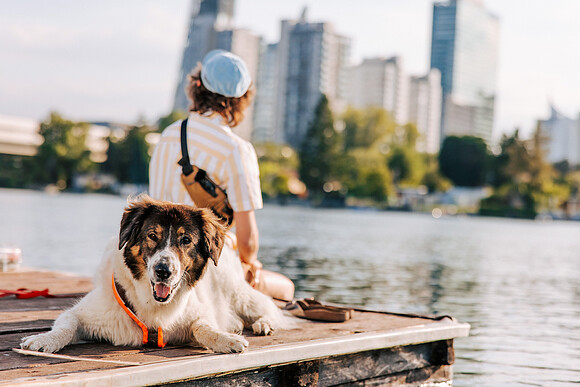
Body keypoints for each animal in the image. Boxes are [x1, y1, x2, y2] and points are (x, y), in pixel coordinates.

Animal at [21, 197, 288, 354]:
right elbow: (66, 325)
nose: (163, 271)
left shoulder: (198, 313)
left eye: (186, 240)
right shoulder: (82, 313)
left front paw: (226, 340)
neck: (152, 304)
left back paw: (263, 323)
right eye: (152, 235)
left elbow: (204, 327)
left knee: (269, 308)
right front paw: (44, 339)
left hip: (238, 293)